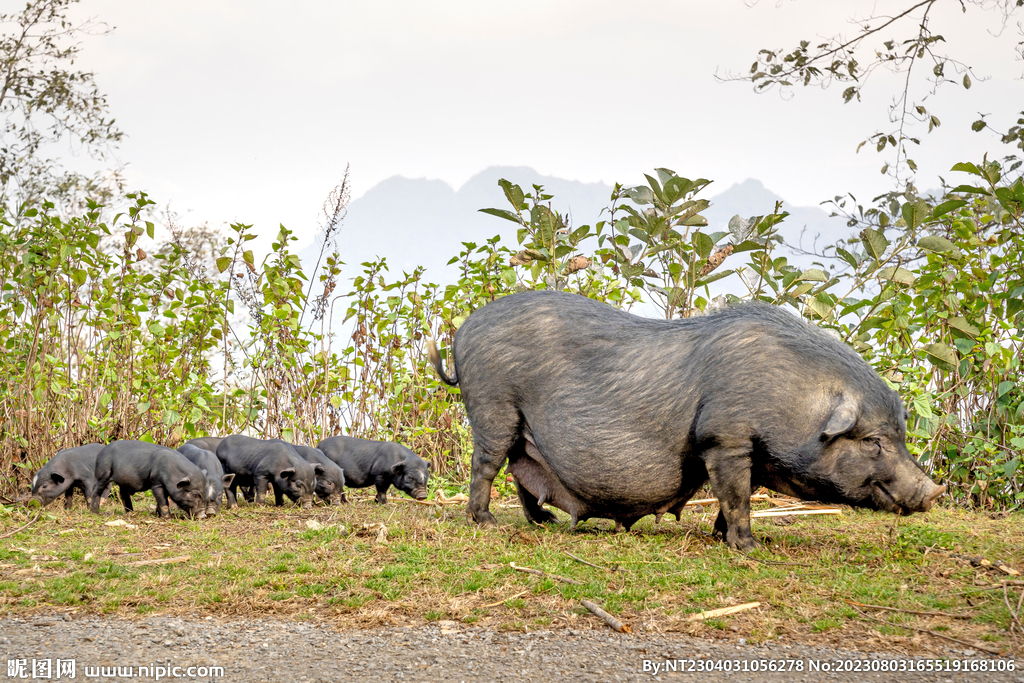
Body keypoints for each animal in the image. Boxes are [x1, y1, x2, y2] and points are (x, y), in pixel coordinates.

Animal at [428, 290, 946, 552]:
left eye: (901, 435)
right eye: (874, 441)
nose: (932, 492)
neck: (795, 399)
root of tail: (464, 331)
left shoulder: (750, 452)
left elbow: (736, 496)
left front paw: (722, 537)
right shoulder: (725, 437)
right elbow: (736, 496)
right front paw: (750, 548)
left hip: (522, 429)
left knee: (523, 472)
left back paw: (544, 523)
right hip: (494, 408)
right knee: (485, 467)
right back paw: (486, 523)